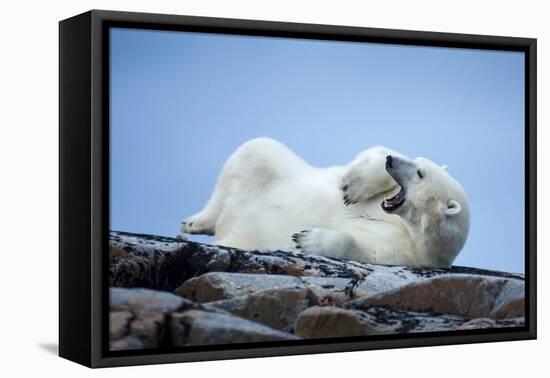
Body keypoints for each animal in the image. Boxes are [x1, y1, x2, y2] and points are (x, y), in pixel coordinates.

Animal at [180, 137, 470, 268]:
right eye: (419, 162)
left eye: (420, 174)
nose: (392, 162)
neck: (406, 227)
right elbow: (374, 151)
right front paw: (352, 187)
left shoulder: (407, 255)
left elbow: (363, 249)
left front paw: (304, 239)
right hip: (276, 168)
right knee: (254, 151)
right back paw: (194, 222)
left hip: (242, 235)